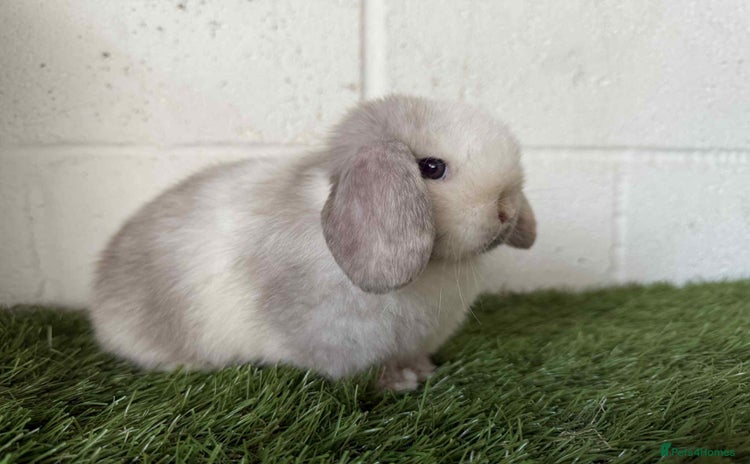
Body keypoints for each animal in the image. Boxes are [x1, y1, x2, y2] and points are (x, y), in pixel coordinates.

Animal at [90, 95, 536, 391]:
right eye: (431, 167)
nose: (506, 210)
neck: (434, 269)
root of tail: (100, 295)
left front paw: (422, 370)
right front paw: (400, 382)